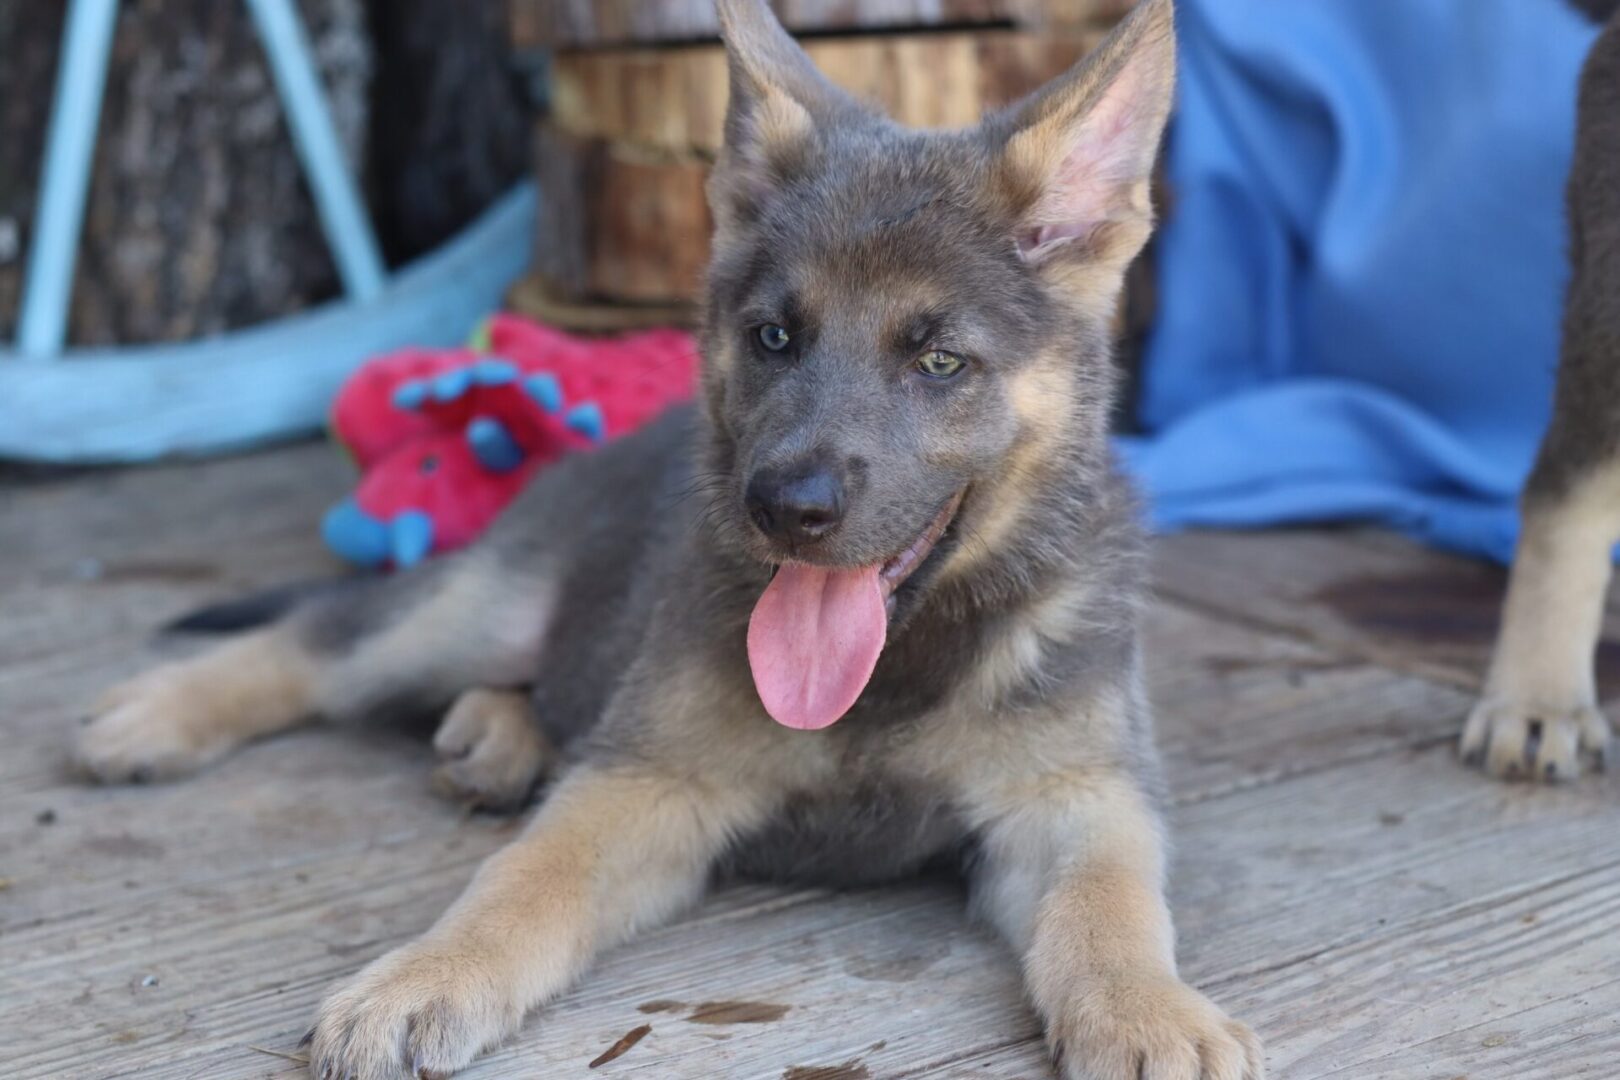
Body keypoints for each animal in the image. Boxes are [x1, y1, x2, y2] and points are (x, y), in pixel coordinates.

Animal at [76, 4, 1263, 1075]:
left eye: (939, 362)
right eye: (774, 338)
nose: (785, 507)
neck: (891, 673)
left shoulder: (1079, 794)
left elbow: (1111, 903)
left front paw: (1148, 1013)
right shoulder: (647, 779)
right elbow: (526, 879)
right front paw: (425, 975)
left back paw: (494, 737)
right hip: (477, 609)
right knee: (329, 638)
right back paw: (160, 713)